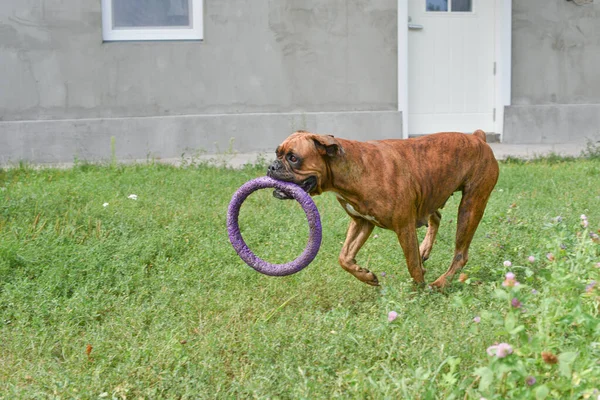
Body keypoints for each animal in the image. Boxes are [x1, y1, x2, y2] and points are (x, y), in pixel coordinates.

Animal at [266, 130, 496, 290]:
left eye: (293, 158)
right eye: (277, 153)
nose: (271, 166)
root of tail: (478, 137)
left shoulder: (404, 227)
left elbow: (412, 264)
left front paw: (419, 290)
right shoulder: (362, 223)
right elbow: (344, 257)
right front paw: (366, 275)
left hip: (470, 207)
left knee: (460, 255)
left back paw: (439, 284)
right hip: (433, 194)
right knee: (436, 217)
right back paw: (425, 250)